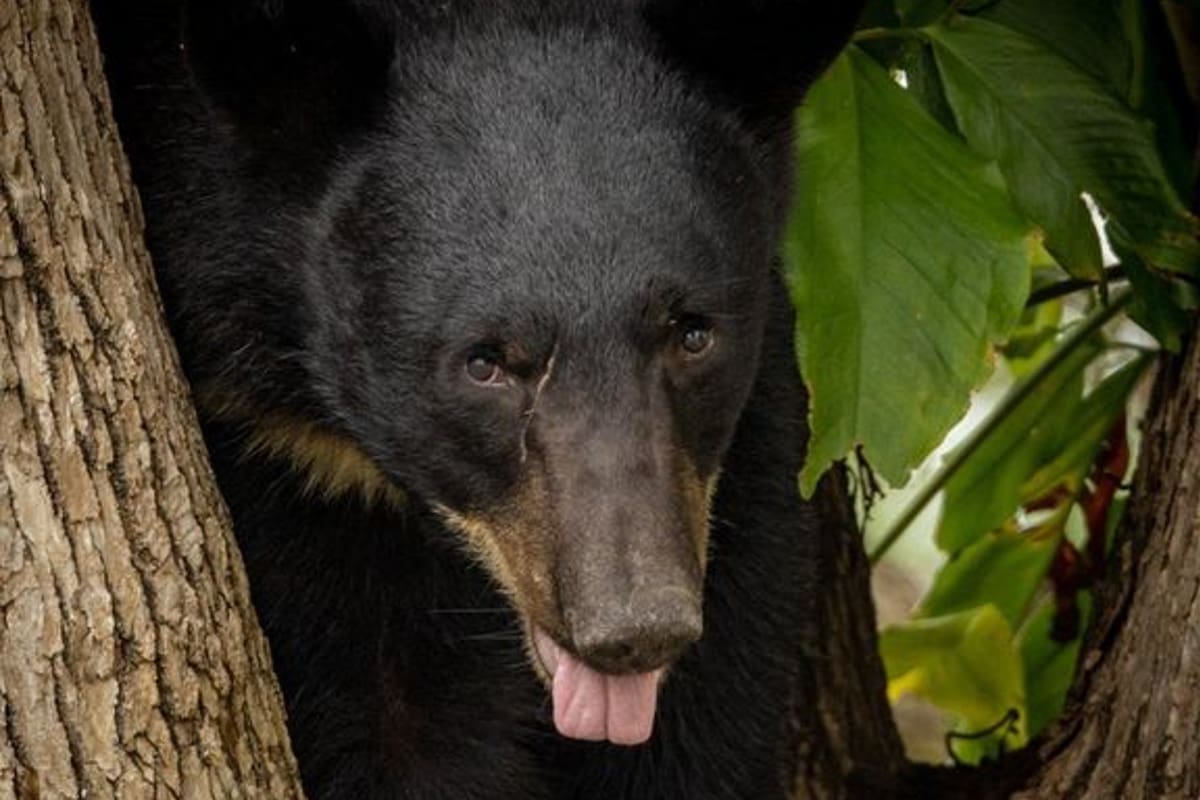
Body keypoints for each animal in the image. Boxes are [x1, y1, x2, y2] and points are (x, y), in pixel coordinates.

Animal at [94, 1, 864, 797]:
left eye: (693, 333)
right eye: (484, 363)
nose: (636, 628)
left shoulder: (740, 473)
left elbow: (713, 721)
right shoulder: (285, 462)